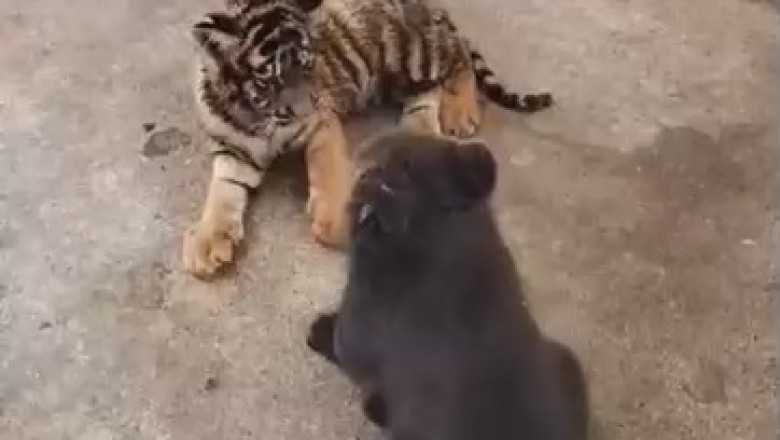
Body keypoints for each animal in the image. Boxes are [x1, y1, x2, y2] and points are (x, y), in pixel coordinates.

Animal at [183, 0, 553, 278]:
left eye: (308, 66)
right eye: (269, 80)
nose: (307, 108)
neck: (255, 115)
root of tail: (434, 8)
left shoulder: (321, 125)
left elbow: (328, 171)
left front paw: (334, 223)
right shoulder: (233, 149)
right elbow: (223, 191)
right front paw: (206, 241)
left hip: (410, 53)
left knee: (458, 55)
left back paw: (460, 113)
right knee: (428, 90)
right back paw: (417, 131)